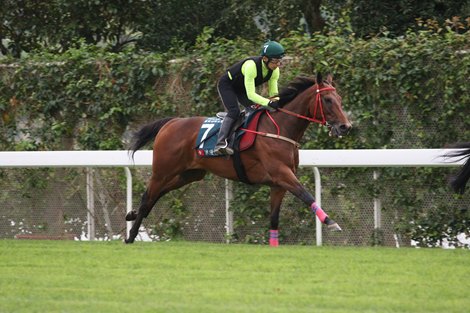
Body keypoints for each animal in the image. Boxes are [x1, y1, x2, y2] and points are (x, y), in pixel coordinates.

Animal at [125, 73, 352, 244]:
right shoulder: (282, 174)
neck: (279, 128)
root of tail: (170, 123)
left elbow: (274, 218)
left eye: (340, 100)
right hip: (163, 170)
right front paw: (331, 222)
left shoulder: (278, 184)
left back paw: (132, 214)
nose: (345, 127)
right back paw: (131, 235)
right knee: (148, 196)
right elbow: (306, 195)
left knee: (158, 193)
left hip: (189, 174)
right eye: (328, 100)